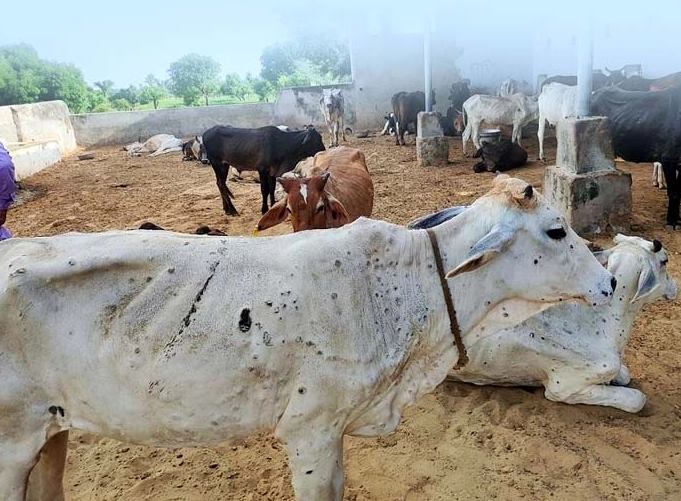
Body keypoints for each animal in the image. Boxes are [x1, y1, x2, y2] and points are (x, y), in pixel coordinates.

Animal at [1, 175, 616, 501]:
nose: (609, 282)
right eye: (556, 230)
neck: (400, 287)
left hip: (53, 432)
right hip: (12, 444)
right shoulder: (310, 430)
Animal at [448, 234, 677, 413]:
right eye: (665, 261)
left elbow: (624, 374)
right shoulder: (564, 389)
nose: (676, 286)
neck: (601, 321)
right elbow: (637, 399)